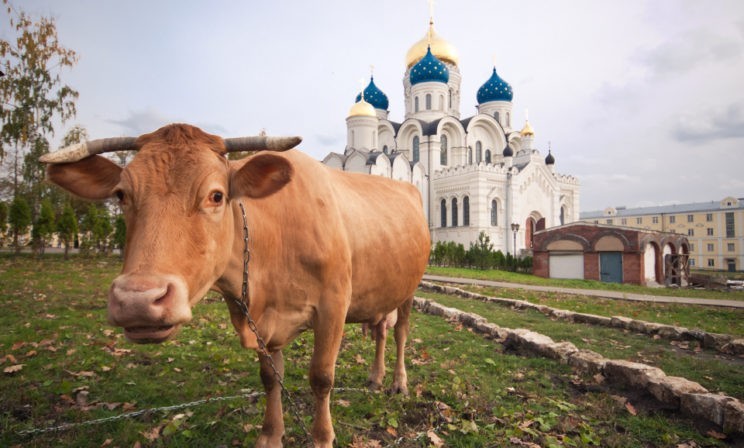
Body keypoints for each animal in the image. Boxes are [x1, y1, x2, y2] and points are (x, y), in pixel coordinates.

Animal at [41, 123, 430, 447]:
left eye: (216, 195)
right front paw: (270, 435)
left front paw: (322, 438)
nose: (137, 300)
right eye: (121, 195)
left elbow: (321, 378)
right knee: (381, 331)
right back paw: (376, 377)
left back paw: (398, 382)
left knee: (400, 333)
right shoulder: (261, 318)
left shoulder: (333, 305)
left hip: (410, 290)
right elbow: (270, 376)